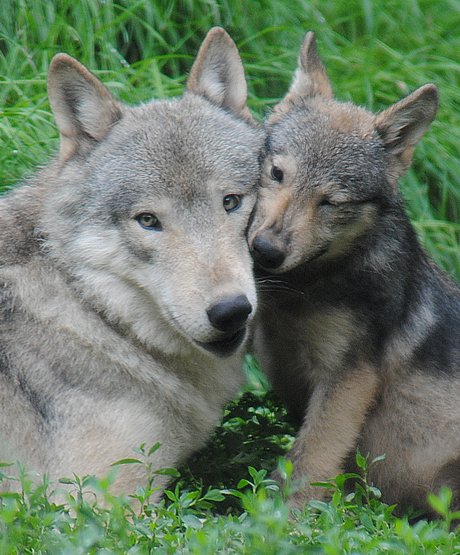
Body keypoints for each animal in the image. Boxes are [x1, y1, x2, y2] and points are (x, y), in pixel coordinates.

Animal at [248, 29, 460, 516]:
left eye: (332, 202)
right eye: (277, 173)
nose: (265, 251)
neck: (302, 291)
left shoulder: (346, 381)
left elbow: (307, 463)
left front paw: (276, 524)